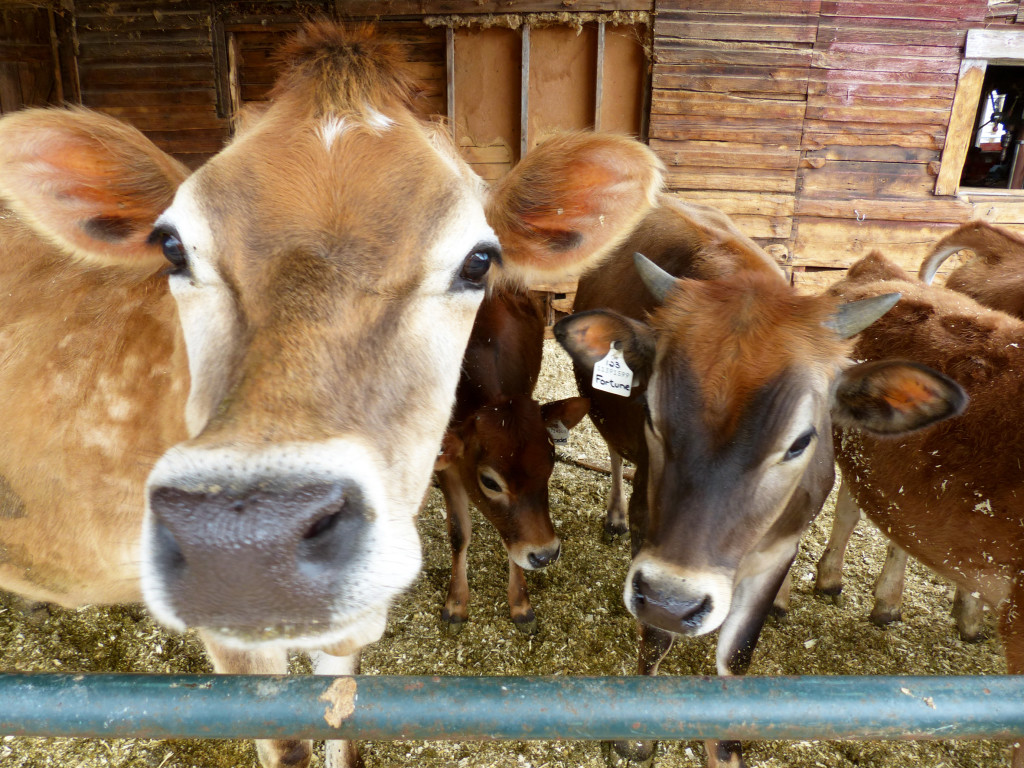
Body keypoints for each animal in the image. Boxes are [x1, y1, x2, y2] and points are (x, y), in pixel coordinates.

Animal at [435, 288, 589, 633]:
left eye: (551, 460)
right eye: (490, 482)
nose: (545, 555)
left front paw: (520, 603)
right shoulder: (448, 465)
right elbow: (458, 533)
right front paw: (456, 602)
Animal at [553, 196, 966, 768]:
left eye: (800, 441)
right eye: (653, 415)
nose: (676, 601)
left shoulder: (779, 551)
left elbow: (738, 654)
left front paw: (726, 748)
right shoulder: (650, 541)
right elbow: (655, 637)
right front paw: (637, 736)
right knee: (615, 455)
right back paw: (611, 516)